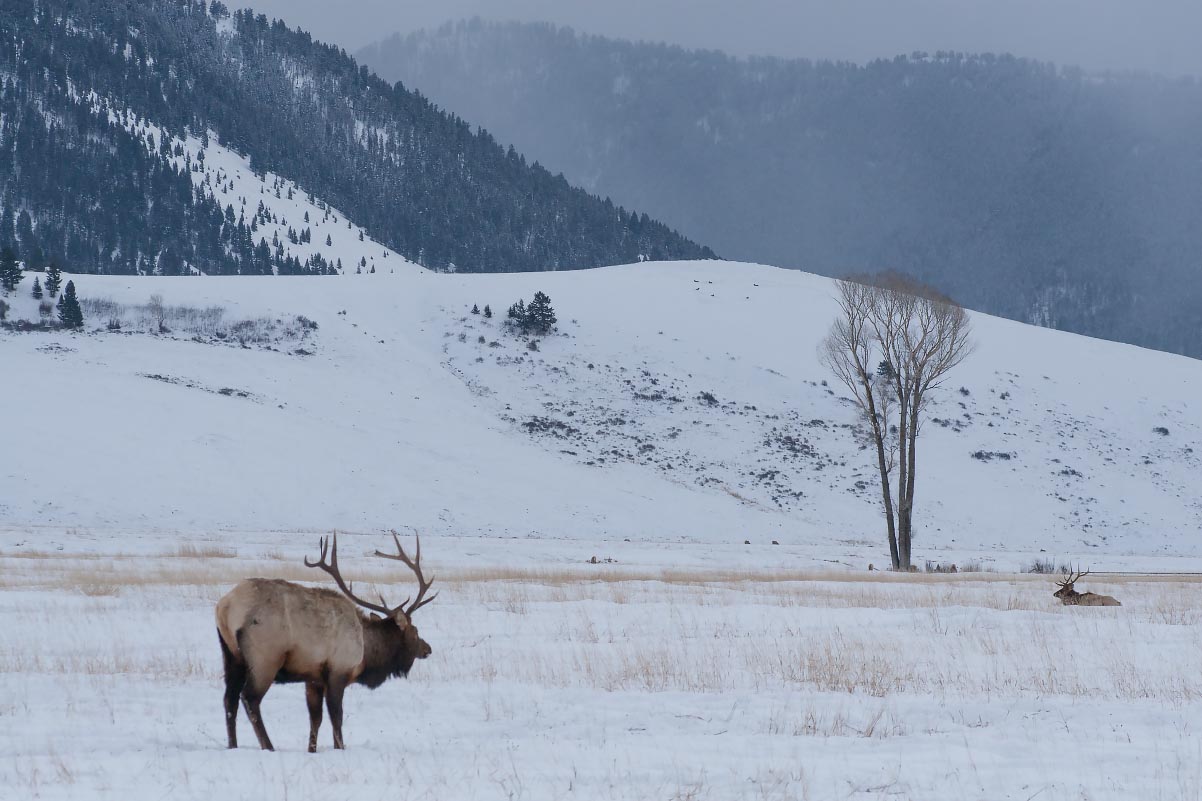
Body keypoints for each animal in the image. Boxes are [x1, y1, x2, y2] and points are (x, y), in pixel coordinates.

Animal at [215, 529, 437, 750]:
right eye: (415, 632)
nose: (428, 648)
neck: (367, 653)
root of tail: (225, 607)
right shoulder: (338, 672)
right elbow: (336, 717)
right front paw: (340, 747)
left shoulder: (313, 678)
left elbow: (316, 718)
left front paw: (312, 749)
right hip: (265, 657)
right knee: (249, 698)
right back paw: (268, 746)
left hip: (231, 655)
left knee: (229, 699)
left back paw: (232, 745)